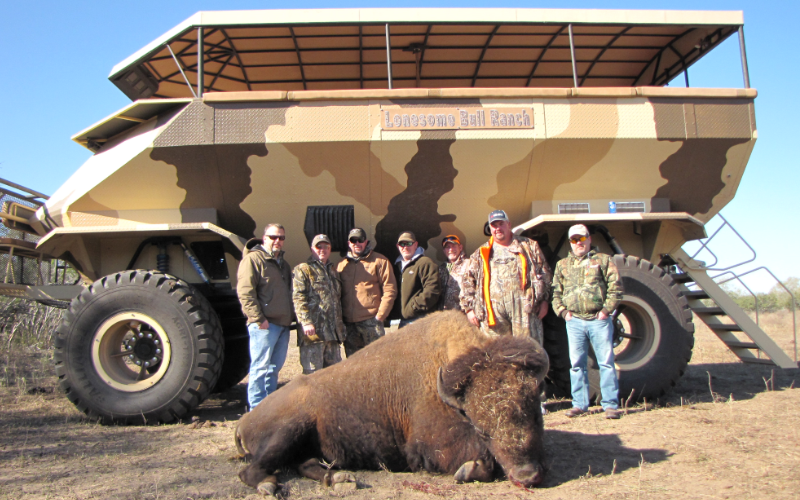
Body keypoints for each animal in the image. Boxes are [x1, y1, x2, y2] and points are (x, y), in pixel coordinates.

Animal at [236, 310, 552, 494]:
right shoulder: (426, 449)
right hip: (288, 430)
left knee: (306, 464)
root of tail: (244, 420)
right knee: (252, 470)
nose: (527, 476)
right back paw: (269, 486)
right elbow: (483, 462)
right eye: (482, 429)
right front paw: (467, 471)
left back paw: (339, 479)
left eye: (535, 416)